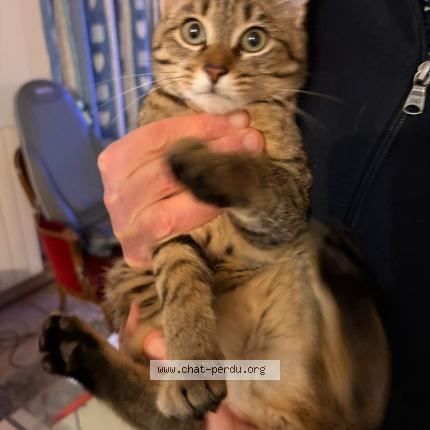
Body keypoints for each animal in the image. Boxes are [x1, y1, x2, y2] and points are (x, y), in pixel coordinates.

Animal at [39, 1, 390, 429]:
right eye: (193, 32)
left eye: (254, 40)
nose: (215, 69)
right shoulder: (168, 228)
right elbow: (180, 283)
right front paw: (191, 361)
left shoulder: (290, 204)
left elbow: (257, 175)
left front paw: (213, 162)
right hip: (126, 281)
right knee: (162, 413)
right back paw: (72, 347)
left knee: (356, 379)